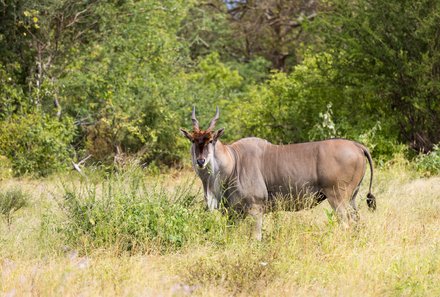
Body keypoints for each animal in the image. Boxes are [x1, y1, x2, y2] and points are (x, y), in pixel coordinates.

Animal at [179, 105, 374, 239]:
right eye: (193, 141)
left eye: (211, 140)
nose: (201, 161)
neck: (234, 162)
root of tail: (358, 146)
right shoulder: (233, 213)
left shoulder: (256, 208)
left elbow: (256, 238)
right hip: (352, 199)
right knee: (356, 222)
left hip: (337, 198)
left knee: (346, 224)